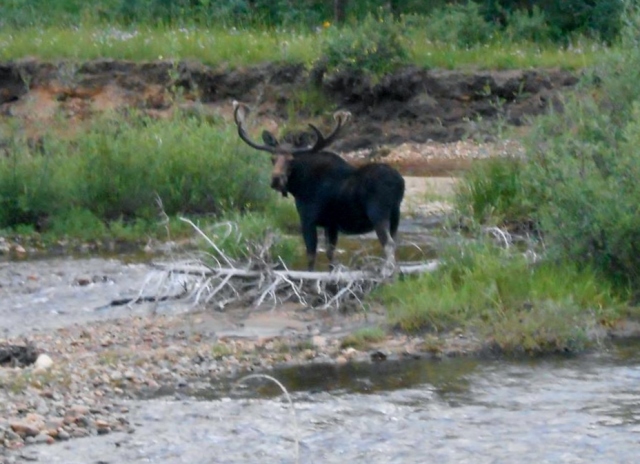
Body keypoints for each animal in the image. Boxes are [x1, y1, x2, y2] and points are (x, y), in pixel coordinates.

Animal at [234, 99, 404, 270]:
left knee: (389, 244)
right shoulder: (331, 224)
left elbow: (311, 256)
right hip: (395, 216)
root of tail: (400, 183)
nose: (276, 179)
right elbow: (330, 254)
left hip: (378, 212)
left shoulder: (308, 218)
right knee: (394, 243)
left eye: (291, 160)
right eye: (272, 159)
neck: (299, 186)